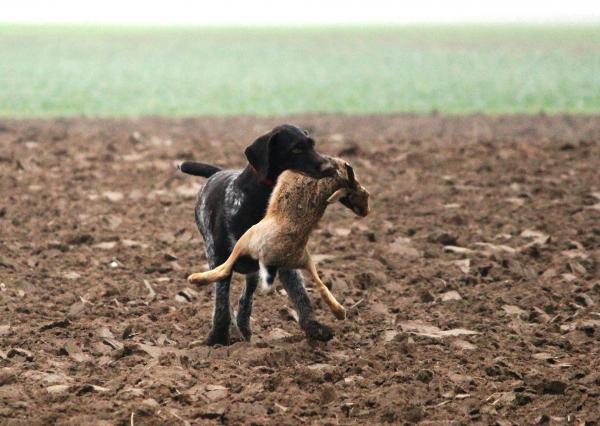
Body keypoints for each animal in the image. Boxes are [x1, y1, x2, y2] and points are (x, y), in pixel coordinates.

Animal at [179, 124, 342, 346]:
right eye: (296, 149)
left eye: (312, 145)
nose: (330, 167)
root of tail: (218, 173)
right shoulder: (220, 258)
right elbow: (221, 302)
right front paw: (218, 337)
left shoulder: (284, 260)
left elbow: (301, 295)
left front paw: (314, 327)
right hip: (213, 255)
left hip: (252, 272)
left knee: (246, 298)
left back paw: (243, 328)